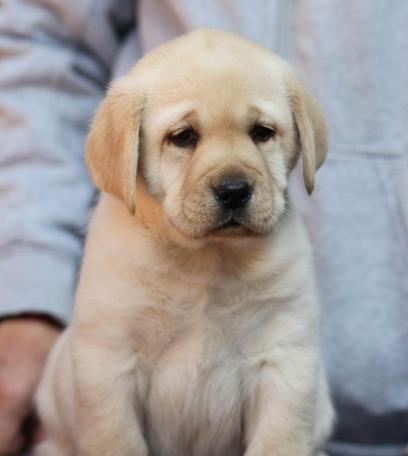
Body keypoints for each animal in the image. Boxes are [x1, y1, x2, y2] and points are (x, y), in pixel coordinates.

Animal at [34, 29, 334, 456]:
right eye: (183, 137)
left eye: (262, 132)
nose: (233, 190)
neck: (208, 258)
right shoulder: (108, 365)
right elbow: (117, 441)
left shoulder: (285, 356)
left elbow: (279, 440)